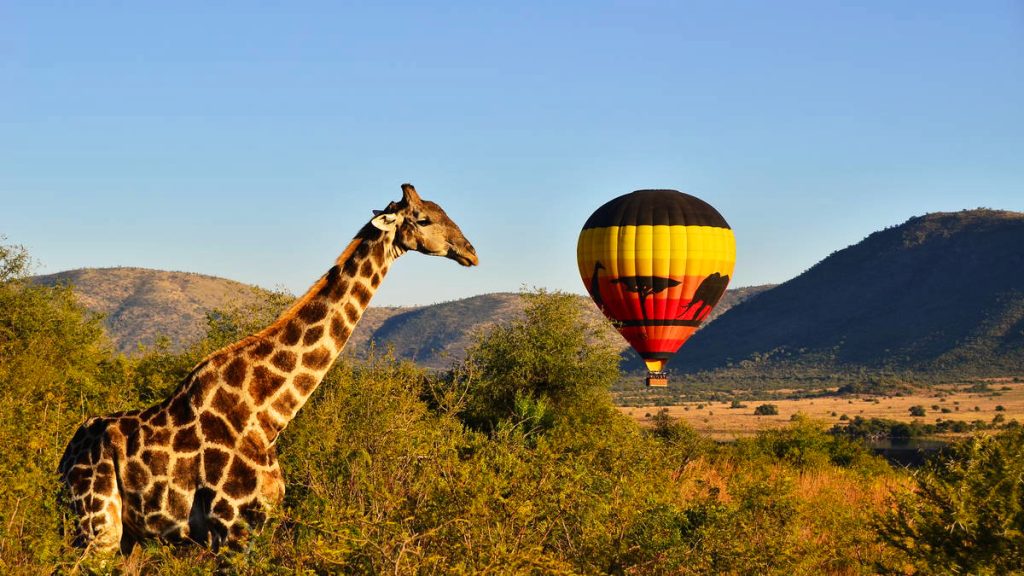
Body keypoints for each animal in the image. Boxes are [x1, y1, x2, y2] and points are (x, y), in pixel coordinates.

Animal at [58, 184, 478, 553]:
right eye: (423, 219)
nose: (470, 252)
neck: (268, 413)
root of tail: (66, 456)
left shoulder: (256, 524)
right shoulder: (231, 527)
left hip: (130, 537)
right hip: (95, 525)